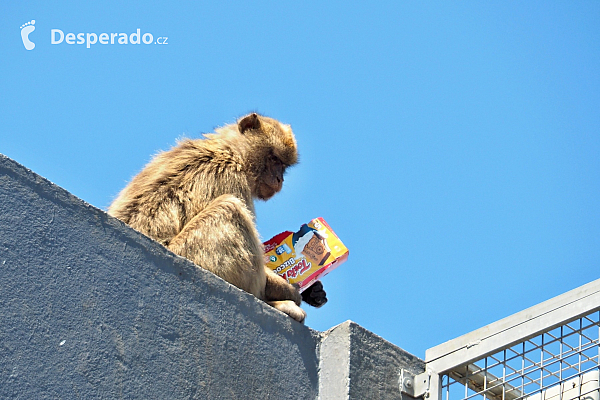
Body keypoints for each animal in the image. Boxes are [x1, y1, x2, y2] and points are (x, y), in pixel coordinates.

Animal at [106, 112, 324, 322]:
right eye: (275, 160)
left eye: (283, 166)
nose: (280, 179)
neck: (229, 150)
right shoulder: (231, 176)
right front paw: (291, 290)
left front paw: (312, 291)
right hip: (188, 252)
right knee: (229, 208)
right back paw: (274, 303)